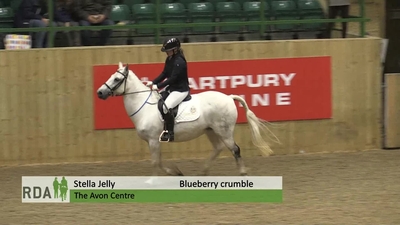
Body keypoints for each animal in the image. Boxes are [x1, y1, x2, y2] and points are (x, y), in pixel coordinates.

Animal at [96, 62, 278, 177]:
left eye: (117, 79)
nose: (100, 92)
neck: (144, 106)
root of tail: (228, 97)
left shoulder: (154, 140)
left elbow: (155, 162)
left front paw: (155, 179)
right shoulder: (152, 141)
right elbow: (159, 161)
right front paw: (175, 172)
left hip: (224, 131)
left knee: (235, 149)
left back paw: (242, 172)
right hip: (211, 130)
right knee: (218, 148)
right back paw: (204, 171)